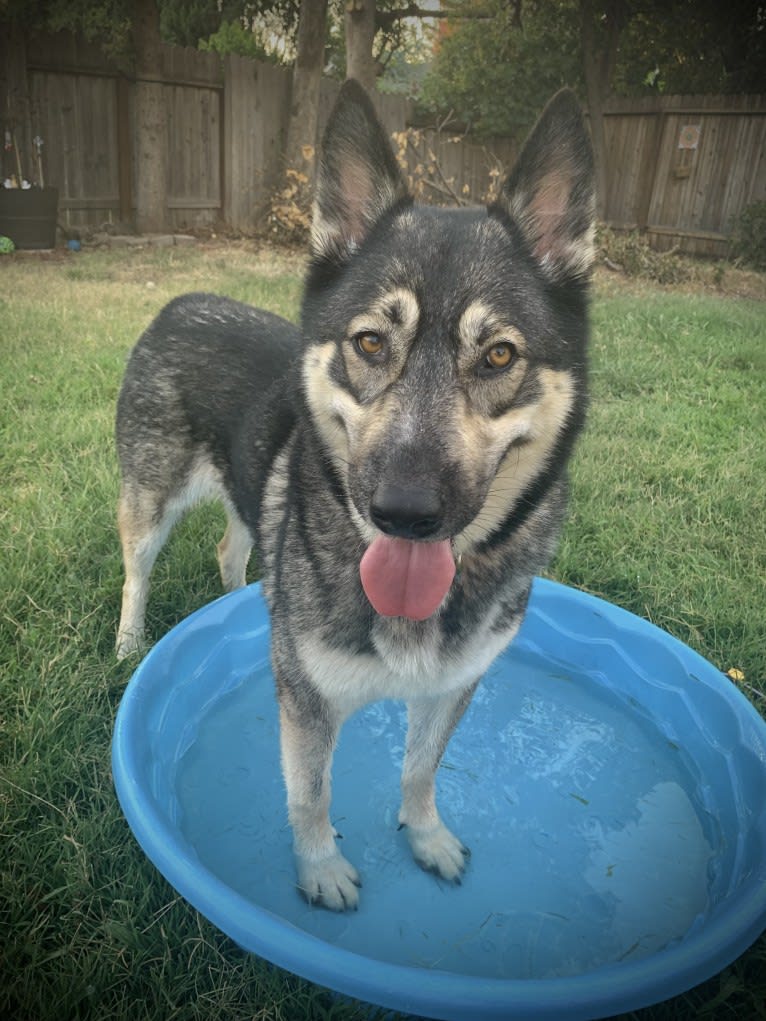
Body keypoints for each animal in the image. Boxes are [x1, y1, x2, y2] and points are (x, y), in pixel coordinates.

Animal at [113, 79, 596, 910]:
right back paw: (127, 639)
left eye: (500, 355)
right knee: (137, 569)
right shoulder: (306, 701)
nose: (403, 511)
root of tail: (179, 300)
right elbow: (311, 793)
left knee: (233, 546)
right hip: (149, 497)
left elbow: (421, 768)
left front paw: (426, 835)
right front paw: (319, 869)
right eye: (370, 341)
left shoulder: (453, 686)